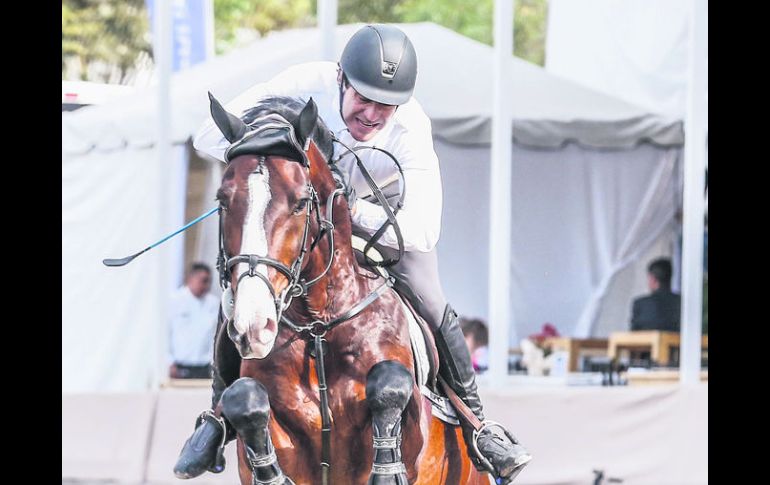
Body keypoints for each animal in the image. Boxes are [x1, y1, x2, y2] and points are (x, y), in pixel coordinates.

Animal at [207, 91, 484, 484]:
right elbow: (244, 399)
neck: (317, 325)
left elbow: (390, 383)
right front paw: (271, 473)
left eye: (300, 202)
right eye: (222, 200)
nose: (255, 327)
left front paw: (386, 472)